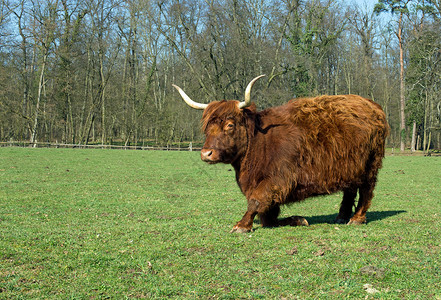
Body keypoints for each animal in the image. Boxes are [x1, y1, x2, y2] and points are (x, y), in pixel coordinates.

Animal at [172, 75, 388, 232]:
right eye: (207, 128)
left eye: (230, 125)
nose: (206, 153)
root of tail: (373, 105)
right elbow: (267, 216)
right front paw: (298, 219)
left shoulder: (279, 178)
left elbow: (256, 201)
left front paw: (241, 225)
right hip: (350, 166)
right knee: (350, 190)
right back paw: (341, 217)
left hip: (370, 164)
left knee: (366, 190)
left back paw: (357, 219)